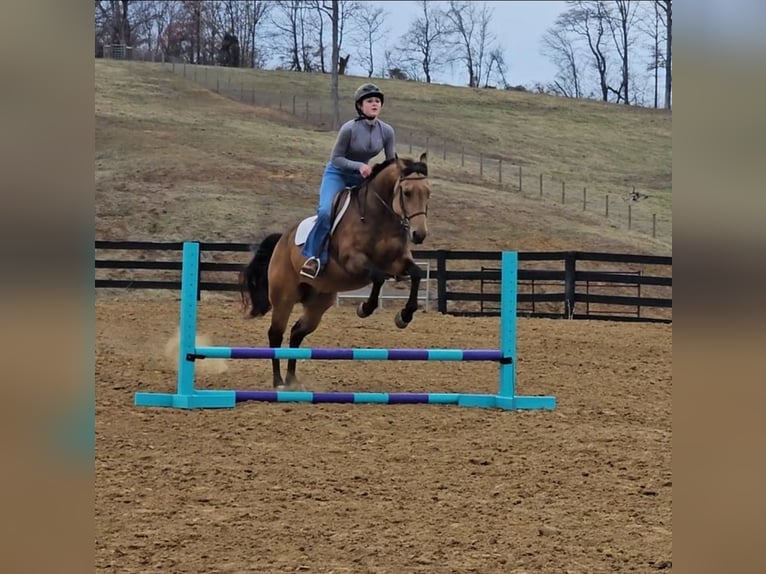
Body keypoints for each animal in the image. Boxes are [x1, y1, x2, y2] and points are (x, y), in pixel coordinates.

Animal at [239, 153, 431, 388]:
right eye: (407, 192)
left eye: (428, 193)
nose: (419, 234)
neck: (378, 218)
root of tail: (282, 240)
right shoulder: (353, 261)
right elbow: (377, 277)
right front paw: (365, 308)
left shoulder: (397, 263)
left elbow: (416, 274)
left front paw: (404, 315)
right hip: (283, 298)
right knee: (276, 334)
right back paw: (279, 383)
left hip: (318, 302)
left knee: (296, 333)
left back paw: (293, 380)